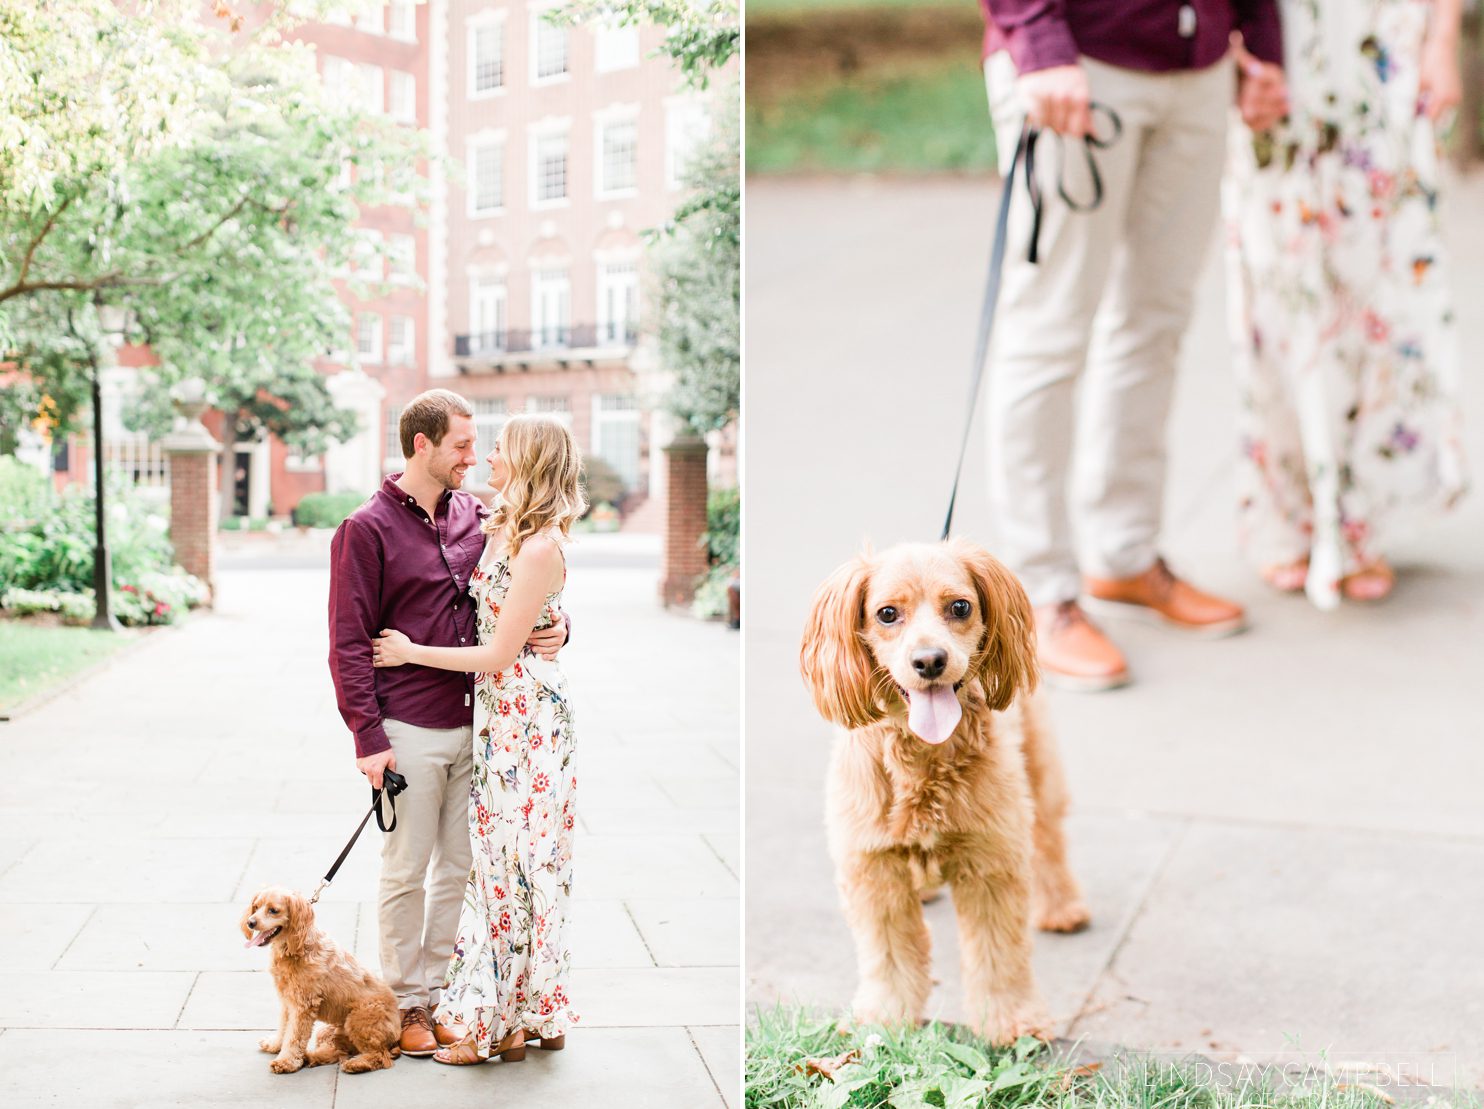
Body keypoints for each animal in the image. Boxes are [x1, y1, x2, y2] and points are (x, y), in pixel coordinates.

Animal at [244, 884, 403, 1074]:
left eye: (273, 910)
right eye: (256, 907)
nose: (250, 922)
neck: (297, 948)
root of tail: (397, 1035)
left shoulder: (302, 1007)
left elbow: (294, 1037)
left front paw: (286, 1061)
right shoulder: (287, 1003)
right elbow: (284, 1028)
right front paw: (275, 1045)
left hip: (357, 1021)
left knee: (379, 1056)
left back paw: (356, 1064)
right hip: (329, 1032)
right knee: (336, 1052)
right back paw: (310, 1057)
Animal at [801, 543, 1092, 1045]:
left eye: (960, 607)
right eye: (887, 613)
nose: (930, 661)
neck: (923, 755)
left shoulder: (991, 864)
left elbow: (998, 955)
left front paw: (1010, 1021)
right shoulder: (874, 868)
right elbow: (889, 955)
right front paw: (885, 1017)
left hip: (1039, 771)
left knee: (1049, 841)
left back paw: (1062, 907)